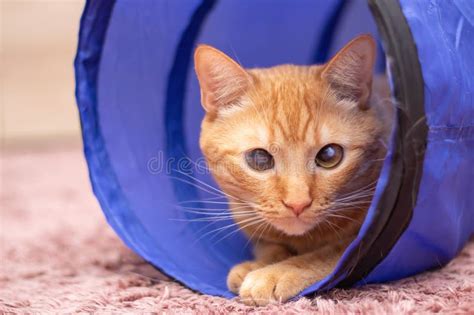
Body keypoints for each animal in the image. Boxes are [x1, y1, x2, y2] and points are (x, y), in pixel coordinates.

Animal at [193, 34, 392, 306]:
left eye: (329, 156)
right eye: (259, 158)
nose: (298, 203)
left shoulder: (365, 241)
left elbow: (332, 252)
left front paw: (276, 272)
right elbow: (269, 244)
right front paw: (260, 263)